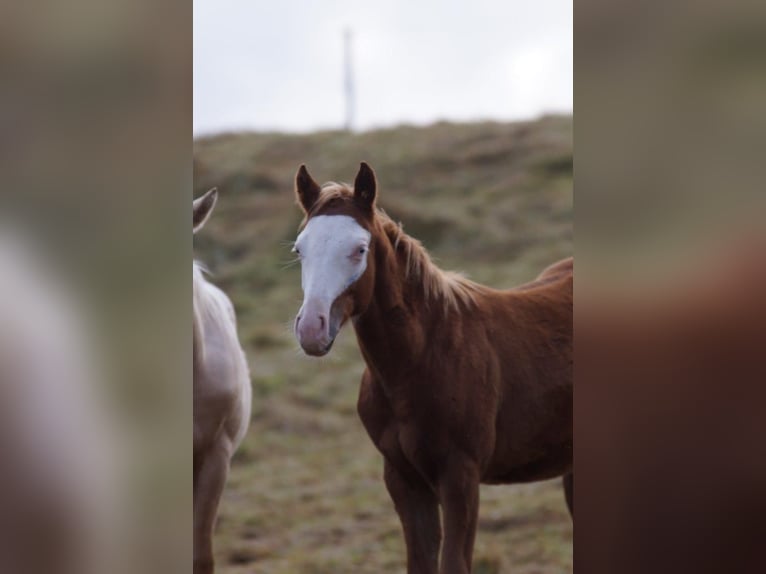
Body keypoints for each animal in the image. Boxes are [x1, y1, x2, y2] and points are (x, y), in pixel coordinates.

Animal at [292, 164, 572, 572]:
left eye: (360, 250)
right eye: (300, 250)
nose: (312, 329)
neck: (419, 362)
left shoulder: (460, 477)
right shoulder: (403, 480)